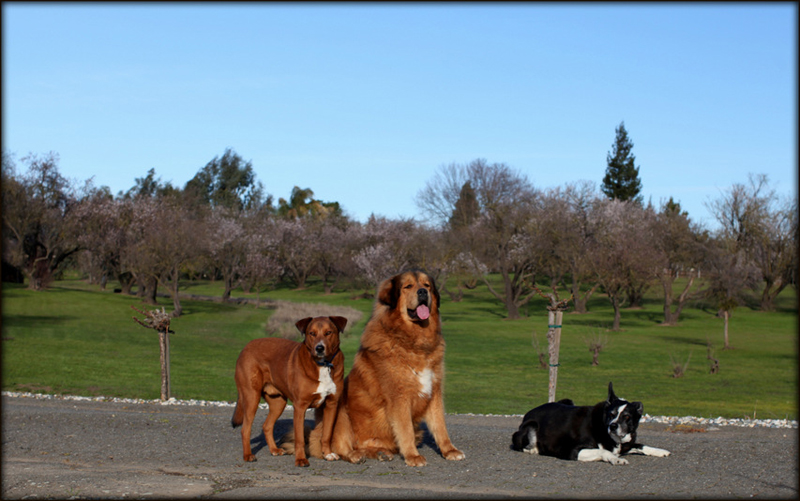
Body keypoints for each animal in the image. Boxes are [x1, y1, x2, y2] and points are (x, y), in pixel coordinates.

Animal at [230, 316, 346, 464]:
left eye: (328, 332)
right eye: (311, 333)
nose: (319, 348)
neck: (323, 365)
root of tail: (246, 347)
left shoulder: (331, 405)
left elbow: (327, 434)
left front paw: (328, 454)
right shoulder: (300, 407)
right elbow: (300, 438)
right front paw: (301, 459)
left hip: (278, 402)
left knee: (267, 426)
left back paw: (274, 449)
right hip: (251, 397)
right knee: (245, 429)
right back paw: (248, 455)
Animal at [302, 270, 466, 464]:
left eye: (427, 285)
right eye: (408, 286)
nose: (422, 292)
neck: (414, 340)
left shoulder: (434, 392)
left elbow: (440, 426)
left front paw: (449, 450)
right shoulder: (399, 397)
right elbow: (406, 430)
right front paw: (413, 456)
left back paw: (380, 452)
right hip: (339, 411)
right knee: (340, 447)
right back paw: (354, 455)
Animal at [512, 382, 668, 464]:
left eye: (627, 417)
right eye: (611, 414)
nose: (613, 426)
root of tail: (526, 415)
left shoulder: (626, 445)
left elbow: (641, 445)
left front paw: (660, 451)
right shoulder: (573, 451)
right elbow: (602, 450)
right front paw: (615, 459)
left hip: (568, 400)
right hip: (531, 425)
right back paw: (534, 449)